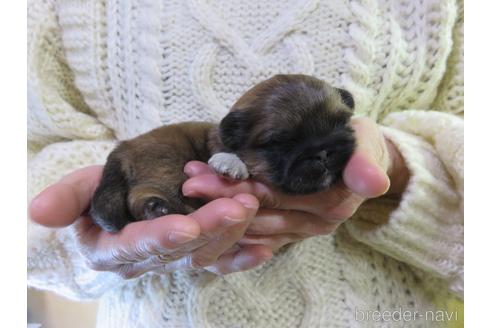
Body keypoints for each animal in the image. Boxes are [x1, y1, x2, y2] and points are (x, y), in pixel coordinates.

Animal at [90, 75, 356, 232]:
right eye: (281, 142)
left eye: (341, 123)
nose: (323, 152)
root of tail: (122, 148)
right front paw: (231, 163)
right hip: (167, 168)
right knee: (140, 193)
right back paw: (157, 208)